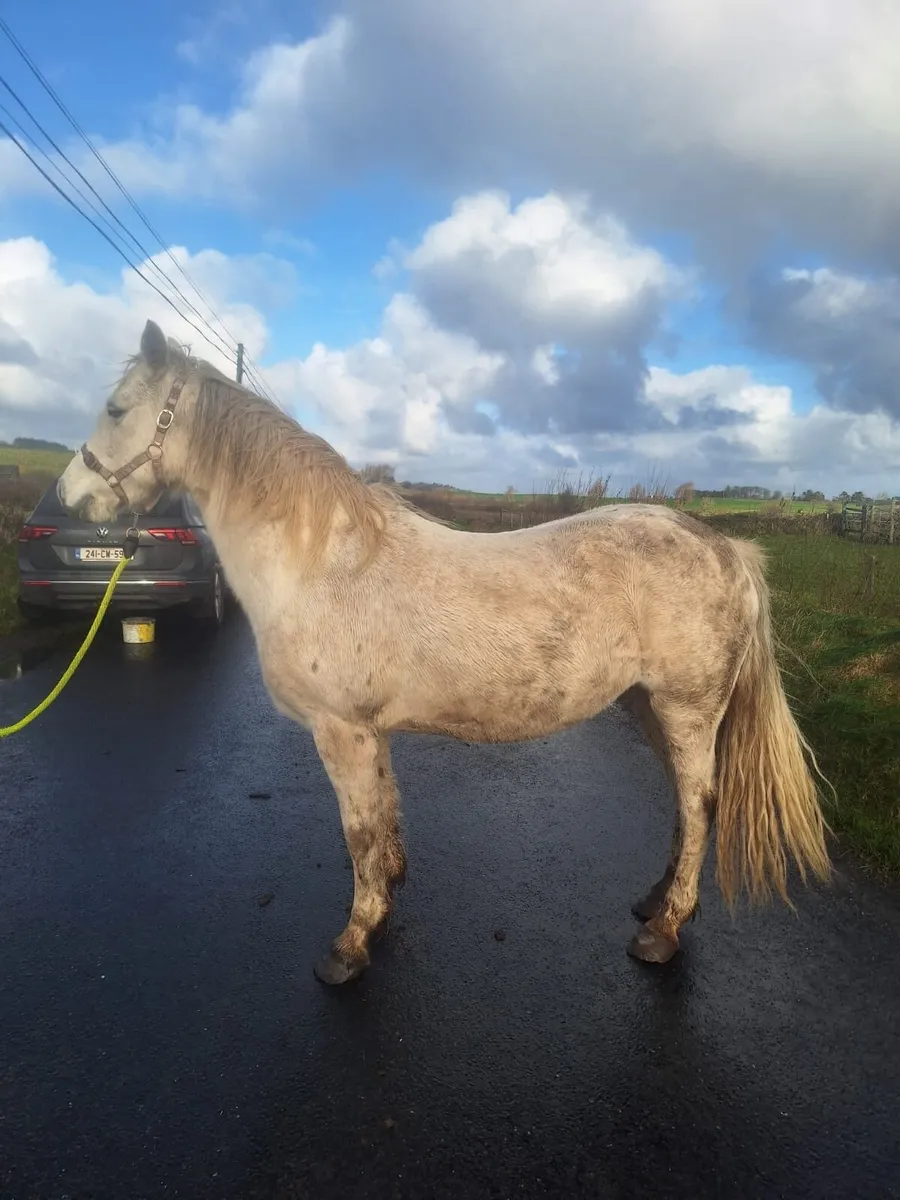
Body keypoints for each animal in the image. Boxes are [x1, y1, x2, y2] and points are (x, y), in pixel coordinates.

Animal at [57, 319, 832, 985]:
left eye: (117, 408)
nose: (71, 496)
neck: (322, 561)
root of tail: (724, 546)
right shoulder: (367, 732)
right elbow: (383, 817)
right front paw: (385, 899)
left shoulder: (339, 730)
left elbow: (357, 831)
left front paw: (351, 944)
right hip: (649, 707)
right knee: (684, 802)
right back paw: (655, 900)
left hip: (687, 708)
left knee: (700, 805)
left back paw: (665, 932)